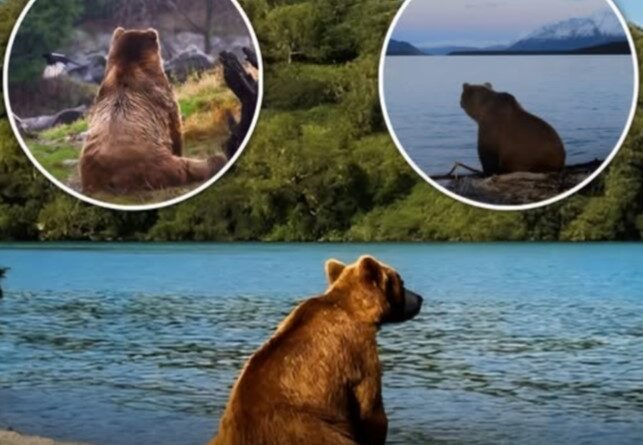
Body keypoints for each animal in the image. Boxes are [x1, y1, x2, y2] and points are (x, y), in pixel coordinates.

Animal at [79, 28, 227, 195]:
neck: (129, 66)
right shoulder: (164, 96)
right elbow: (175, 128)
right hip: (154, 162)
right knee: (184, 166)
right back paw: (216, 161)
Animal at [209, 256, 423, 445]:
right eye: (402, 282)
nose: (420, 298)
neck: (355, 309)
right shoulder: (358, 353)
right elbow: (371, 409)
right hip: (309, 428)